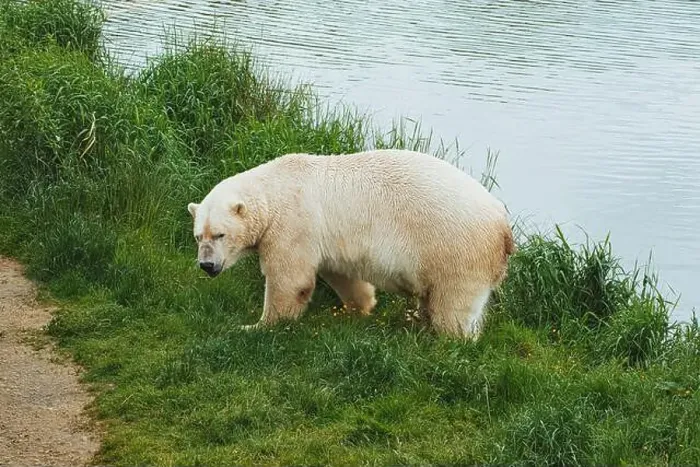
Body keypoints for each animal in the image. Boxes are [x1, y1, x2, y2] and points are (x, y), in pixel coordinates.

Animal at [187, 148, 515, 339]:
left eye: (220, 234)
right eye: (198, 236)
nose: (207, 265)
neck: (274, 190)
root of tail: (503, 225)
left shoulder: (293, 224)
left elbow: (289, 279)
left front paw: (257, 325)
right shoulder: (326, 237)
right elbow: (341, 274)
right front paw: (360, 308)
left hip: (455, 249)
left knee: (454, 304)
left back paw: (448, 338)